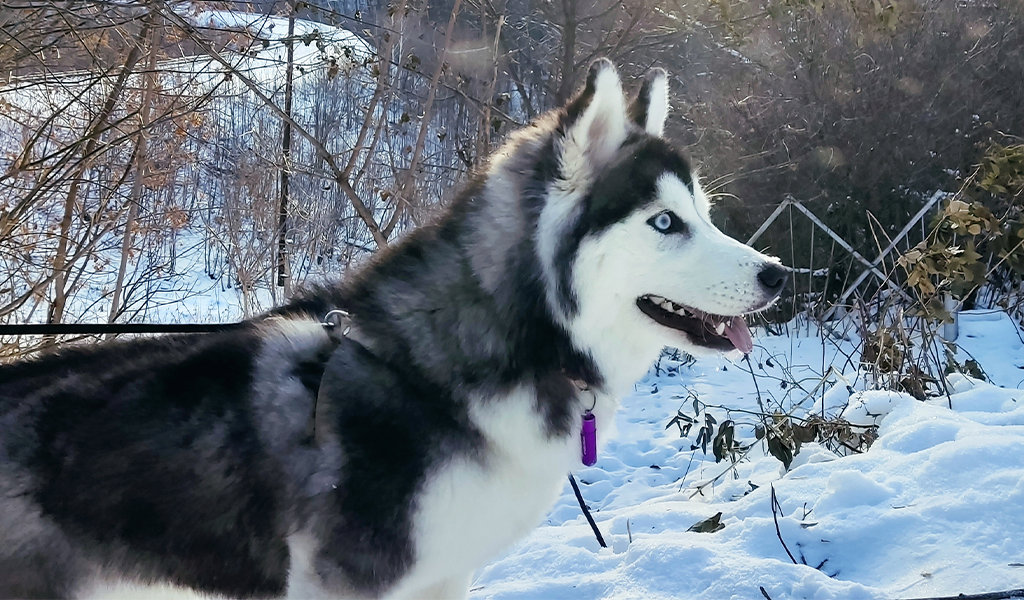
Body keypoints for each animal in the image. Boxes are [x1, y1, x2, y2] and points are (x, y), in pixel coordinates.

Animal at [0, 57, 782, 597]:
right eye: (665, 223)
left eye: (704, 212)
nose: (777, 275)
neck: (437, 370)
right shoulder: (350, 583)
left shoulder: (443, 575)